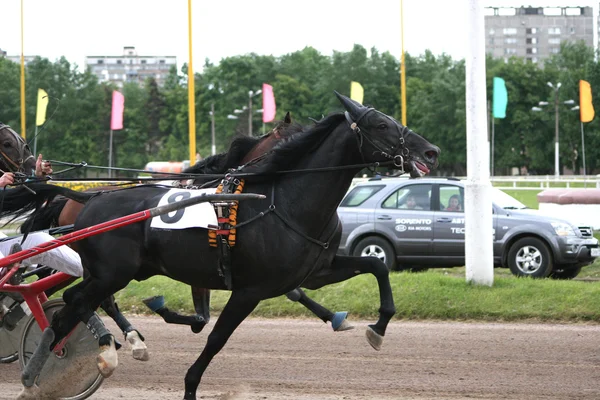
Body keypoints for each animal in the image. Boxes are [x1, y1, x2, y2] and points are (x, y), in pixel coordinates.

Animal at [5, 92, 440, 398]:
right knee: (72, 307)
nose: (431, 151)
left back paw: (68, 363)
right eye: (381, 125)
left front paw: (375, 326)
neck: (282, 202)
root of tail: (89, 198)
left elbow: (377, 266)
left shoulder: (316, 270)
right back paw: (53, 368)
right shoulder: (250, 289)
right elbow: (215, 336)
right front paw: (189, 386)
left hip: (113, 272)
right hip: (111, 273)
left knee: (73, 305)